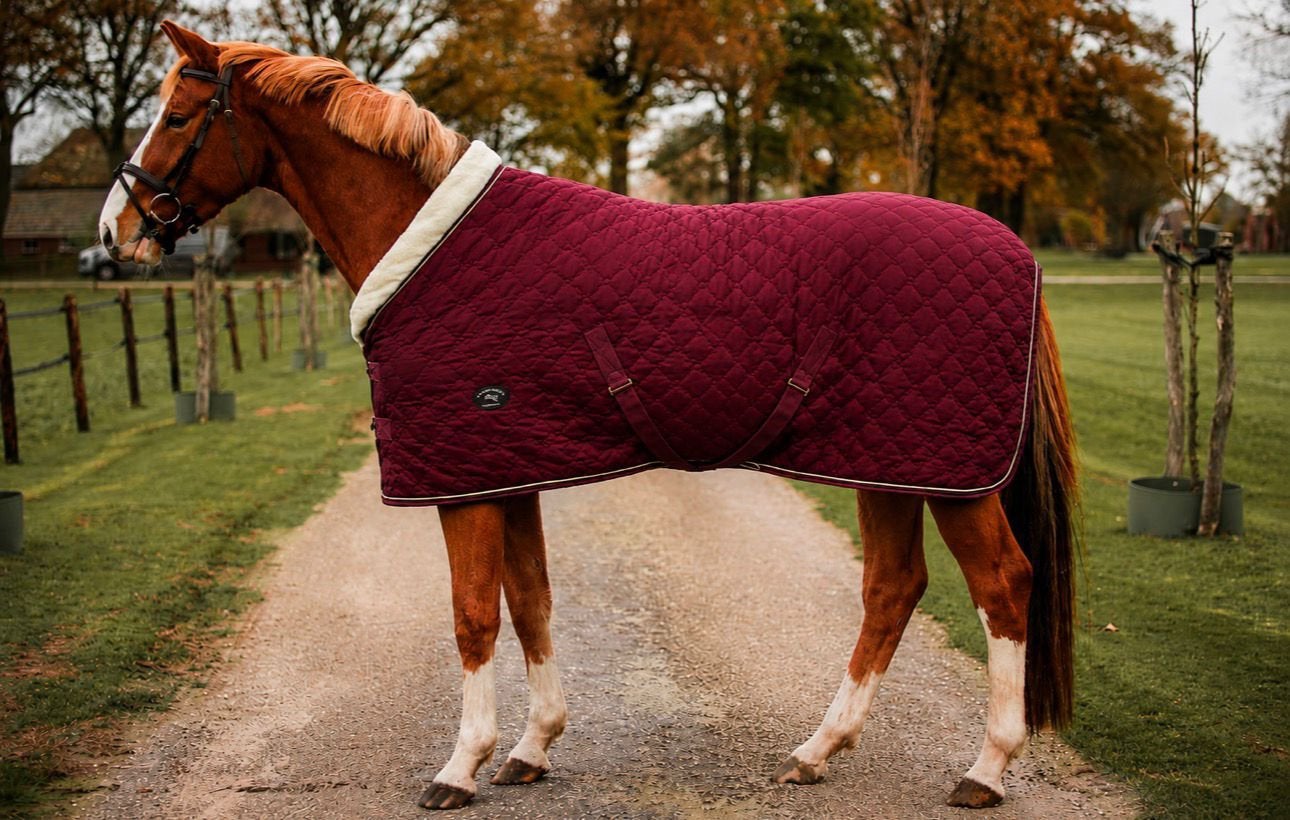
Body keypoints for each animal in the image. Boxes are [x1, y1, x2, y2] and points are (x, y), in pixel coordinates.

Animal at [100, 22, 1078, 812]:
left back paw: (985, 771)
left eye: (179, 116)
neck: (435, 247)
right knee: (891, 590)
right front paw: (531, 750)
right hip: (887, 465)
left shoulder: (466, 481)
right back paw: (817, 750)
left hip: (952, 478)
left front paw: (459, 768)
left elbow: (472, 617)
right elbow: (530, 602)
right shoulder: (510, 468)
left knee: (1002, 587)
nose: (117, 233)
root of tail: (1015, 251)